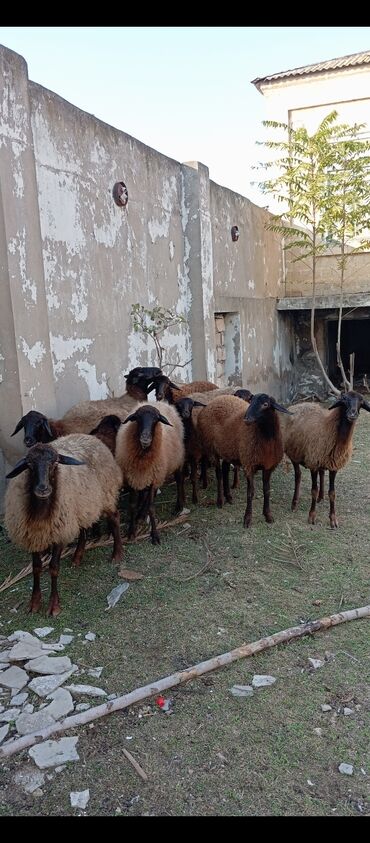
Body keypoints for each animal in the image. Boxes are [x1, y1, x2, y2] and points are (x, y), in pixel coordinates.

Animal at [4, 436, 123, 612]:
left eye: (55, 463)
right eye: (30, 465)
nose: (43, 488)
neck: (41, 512)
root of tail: (93, 438)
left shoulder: (60, 533)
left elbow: (54, 568)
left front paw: (54, 606)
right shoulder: (33, 535)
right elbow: (36, 568)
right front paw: (34, 603)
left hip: (107, 494)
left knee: (115, 518)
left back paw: (117, 554)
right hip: (82, 505)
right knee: (83, 529)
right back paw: (77, 557)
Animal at [115, 404, 185, 548]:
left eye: (156, 420)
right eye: (137, 418)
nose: (145, 438)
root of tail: (163, 403)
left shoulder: (154, 478)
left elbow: (152, 508)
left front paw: (155, 535)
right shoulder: (133, 478)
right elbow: (132, 505)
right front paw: (131, 530)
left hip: (176, 461)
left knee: (179, 480)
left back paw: (178, 506)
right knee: (145, 494)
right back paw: (141, 514)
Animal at [198, 396, 290, 528]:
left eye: (265, 404)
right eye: (251, 401)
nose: (246, 419)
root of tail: (214, 401)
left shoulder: (268, 467)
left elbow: (267, 490)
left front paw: (268, 515)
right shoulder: (249, 464)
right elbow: (250, 492)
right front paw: (247, 519)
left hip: (228, 449)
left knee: (225, 469)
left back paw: (228, 497)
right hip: (211, 448)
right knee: (219, 474)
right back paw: (220, 501)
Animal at [280, 390, 370, 528]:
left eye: (361, 401)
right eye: (344, 400)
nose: (352, 414)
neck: (329, 427)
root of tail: (297, 405)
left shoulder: (334, 465)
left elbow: (332, 493)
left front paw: (333, 519)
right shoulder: (313, 463)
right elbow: (313, 490)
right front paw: (312, 516)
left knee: (321, 473)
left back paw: (321, 497)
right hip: (294, 453)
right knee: (298, 475)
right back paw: (294, 503)